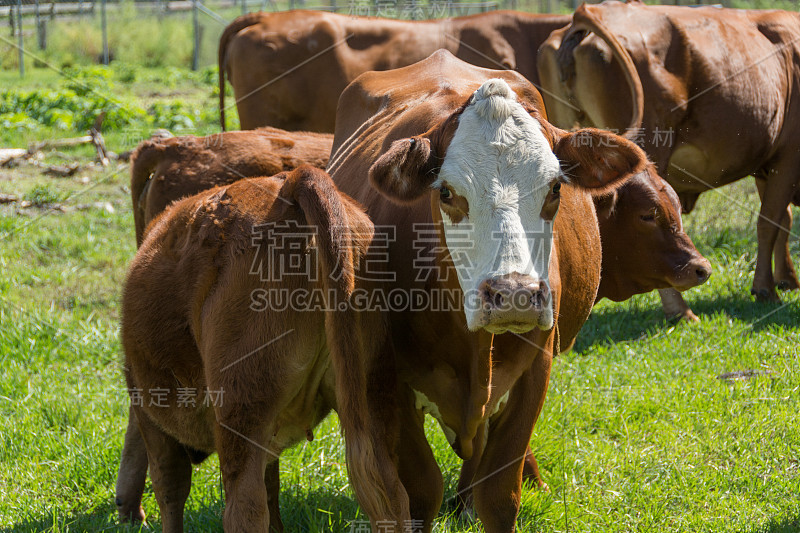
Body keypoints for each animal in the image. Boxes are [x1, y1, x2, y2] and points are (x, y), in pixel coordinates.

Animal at [117, 166, 424, 532]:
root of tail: (290, 182)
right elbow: (271, 487)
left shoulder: (150, 414)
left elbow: (169, 488)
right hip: (371, 389)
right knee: (391, 494)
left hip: (242, 405)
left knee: (245, 508)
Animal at [322, 47, 652, 528]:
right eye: (446, 192)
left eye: (556, 188)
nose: (514, 294)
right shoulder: (391, 378)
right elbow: (421, 491)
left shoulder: (535, 369)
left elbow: (498, 492)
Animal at [536, 0, 800, 304]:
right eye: (648, 216)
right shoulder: (787, 159)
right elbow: (771, 222)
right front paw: (766, 288)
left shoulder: (768, 166)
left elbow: (783, 219)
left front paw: (787, 279)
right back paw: (681, 310)